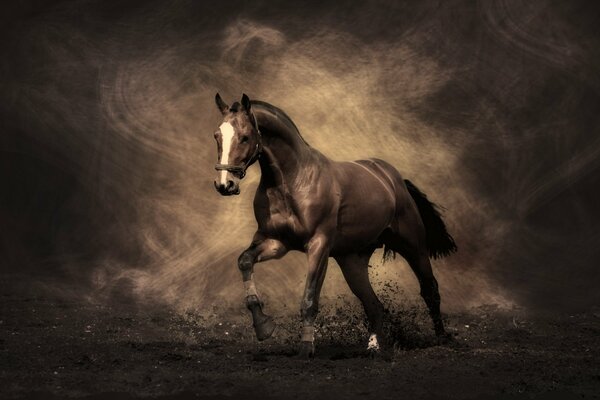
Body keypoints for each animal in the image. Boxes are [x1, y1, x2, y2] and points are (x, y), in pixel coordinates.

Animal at [211, 94, 454, 360]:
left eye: (245, 136)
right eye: (217, 136)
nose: (225, 184)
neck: (293, 181)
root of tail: (394, 179)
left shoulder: (319, 245)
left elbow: (309, 299)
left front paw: (306, 348)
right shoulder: (276, 242)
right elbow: (244, 261)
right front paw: (263, 327)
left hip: (413, 246)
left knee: (430, 289)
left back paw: (442, 339)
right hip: (352, 262)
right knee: (373, 305)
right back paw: (374, 347)